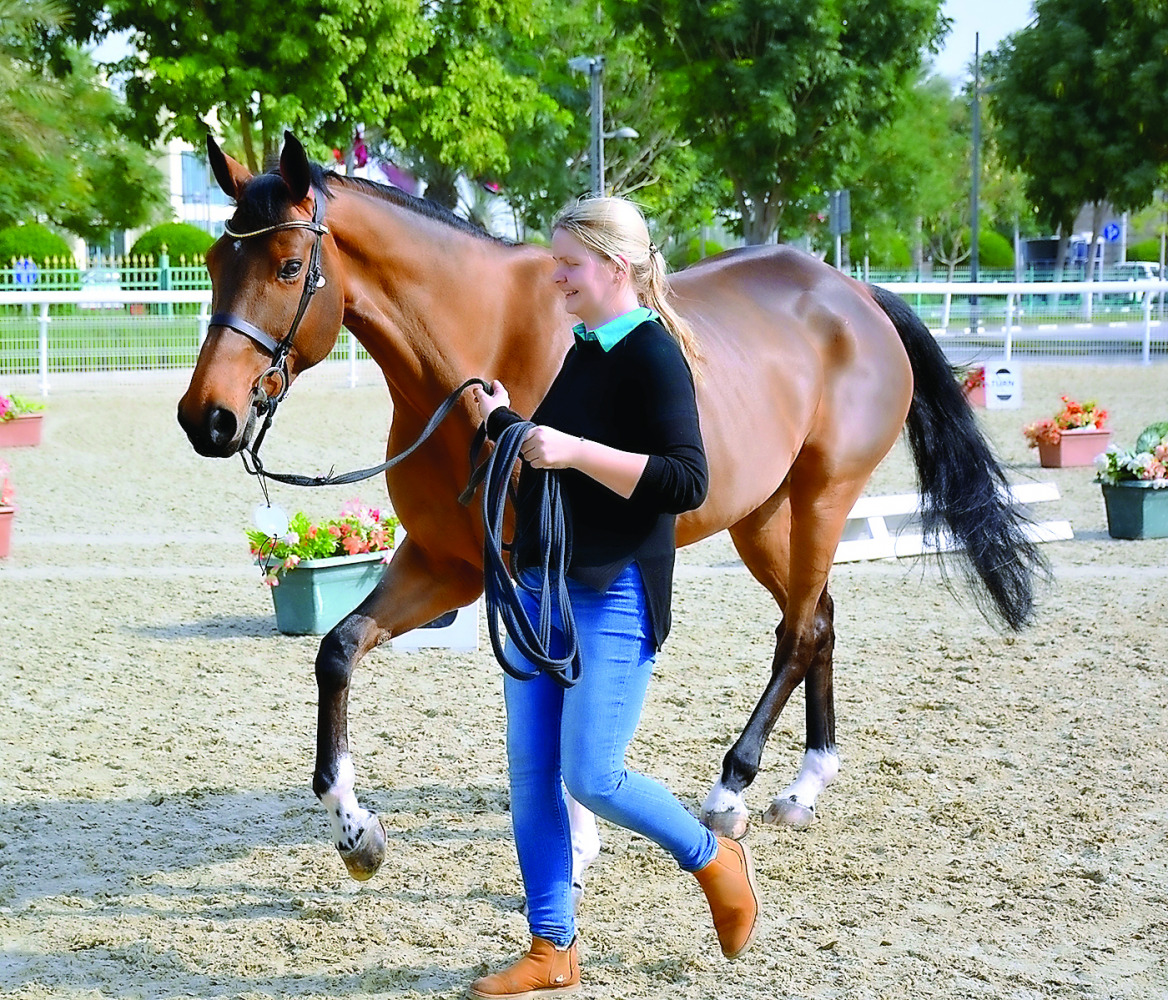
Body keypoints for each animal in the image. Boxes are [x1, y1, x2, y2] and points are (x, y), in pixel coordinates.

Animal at [178, 132, 1043, 884]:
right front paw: (356, 828)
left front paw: (576, 842)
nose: (207, 419)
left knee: (798, 634)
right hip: (765, 518)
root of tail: (852, 292)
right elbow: (338, 650)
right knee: (820, 621)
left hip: (824, 499)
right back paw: (803, 787)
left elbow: (563, 686)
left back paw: (733, 787)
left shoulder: (531, 568)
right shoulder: (446, 564)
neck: (470, 359)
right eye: (217, 260)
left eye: (290, 265)